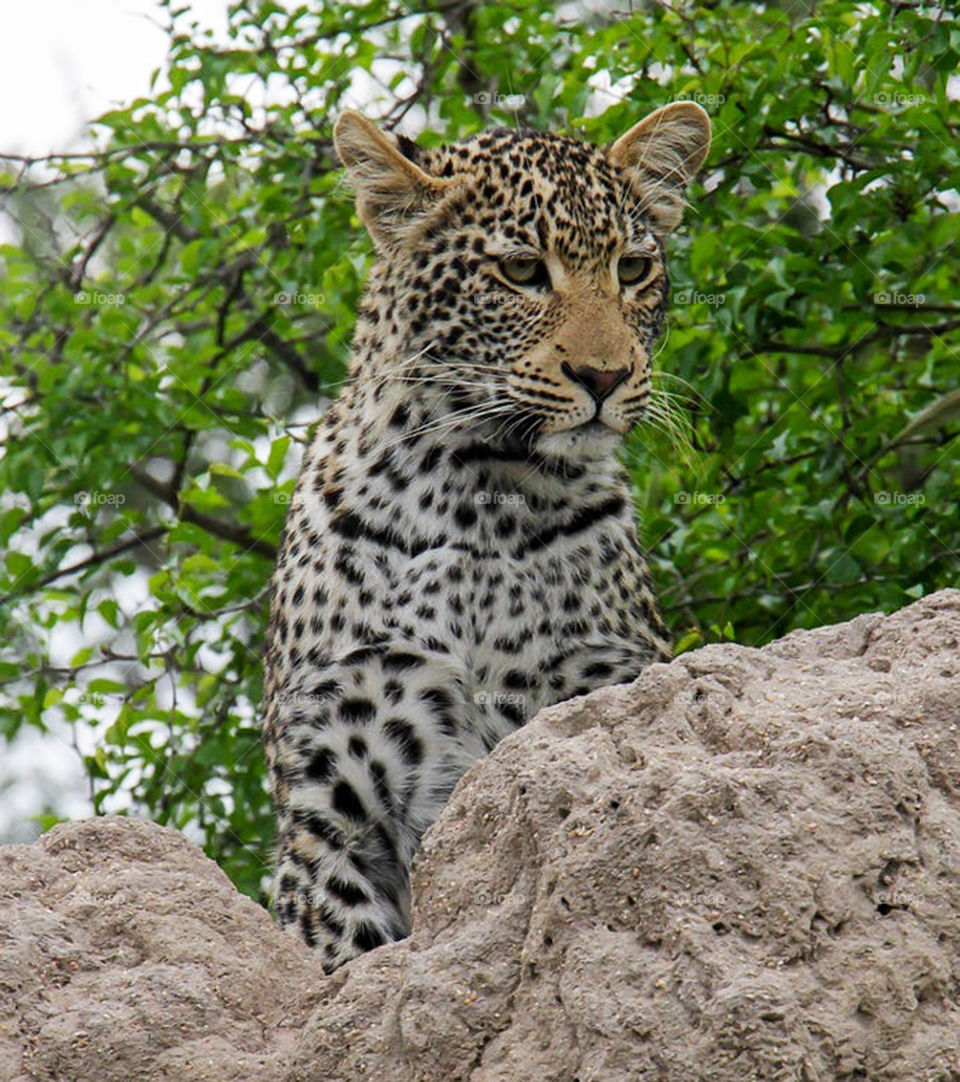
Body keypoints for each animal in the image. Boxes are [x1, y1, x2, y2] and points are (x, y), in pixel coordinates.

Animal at [262, 101, 714, 973]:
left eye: (634, 270)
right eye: (523, 271)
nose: (605, 376)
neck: (480, 492)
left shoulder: (594, 700)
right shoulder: (329, 798)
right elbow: (344, 954)